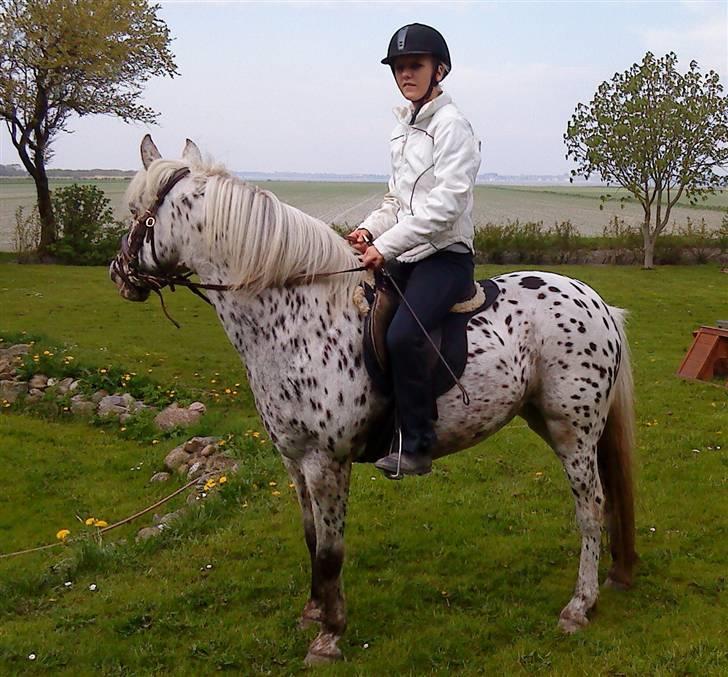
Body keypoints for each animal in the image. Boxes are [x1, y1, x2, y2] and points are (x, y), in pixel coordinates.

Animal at [110, 135, 637, 665]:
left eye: (137, 211)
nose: (119, 273)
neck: (296, 318)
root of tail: (598, 304)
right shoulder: (294, 460)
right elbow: (310, 537)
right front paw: (313, 612)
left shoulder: (326, 461)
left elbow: (330, 552)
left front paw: (329, 635)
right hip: (549, 421)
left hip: (573, 430)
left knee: (591, 507)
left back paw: (579, 606)